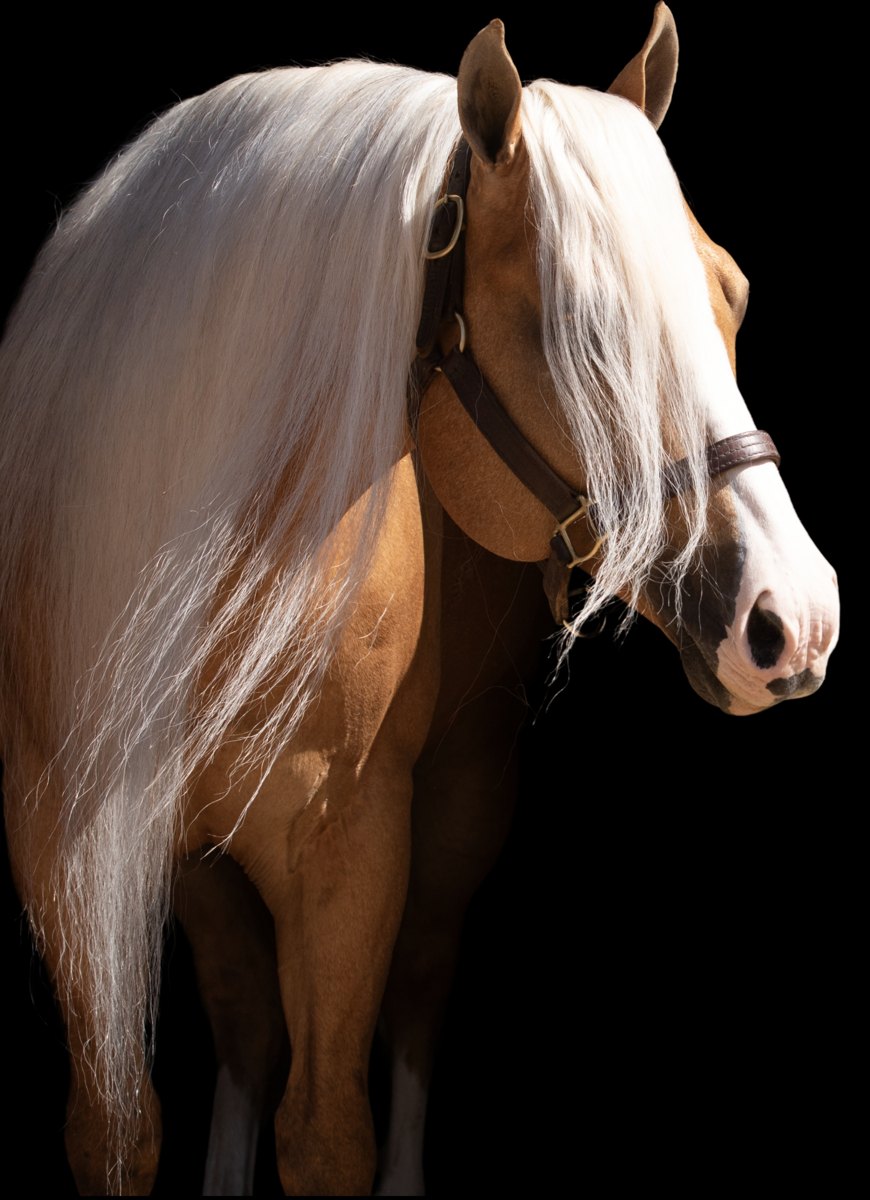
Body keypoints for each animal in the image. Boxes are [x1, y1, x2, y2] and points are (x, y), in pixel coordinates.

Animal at [0, 6, 839, 1194]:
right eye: (576, 327)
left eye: (731, 292)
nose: (794, 616)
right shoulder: (64, 838)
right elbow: (117, 1128)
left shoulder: (352, 847)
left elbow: (328, 1133)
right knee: (247, 1029)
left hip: (459, 804)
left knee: (416, 1003)